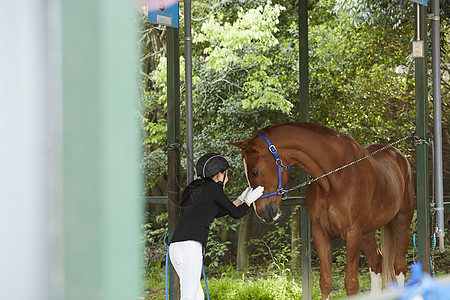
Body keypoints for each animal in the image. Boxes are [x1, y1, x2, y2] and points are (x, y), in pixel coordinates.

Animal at [232, 121, 414, 298]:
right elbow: (325, 282)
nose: (264, 214)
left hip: (401, 224)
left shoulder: (352, 234)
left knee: (399, 266)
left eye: (254, 172)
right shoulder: (321, 234)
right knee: (376, 262)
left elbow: (351, 284)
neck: (334, 178)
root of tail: (399, 156)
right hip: (367, 232)